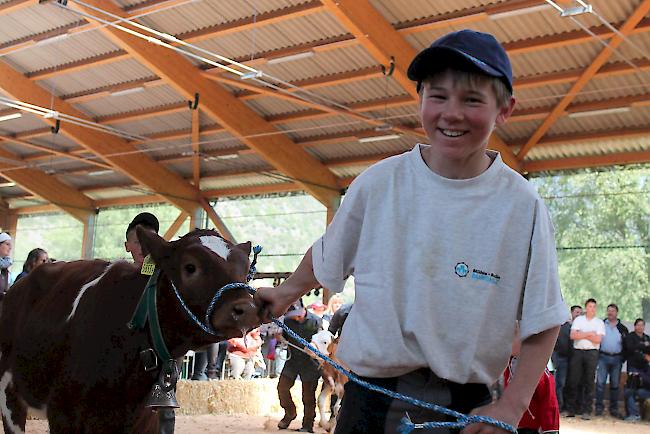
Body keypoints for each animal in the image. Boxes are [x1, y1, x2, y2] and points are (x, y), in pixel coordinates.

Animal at [0, 229, 260, 432]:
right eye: (190, 267)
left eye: (246, 271)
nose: (247, 309)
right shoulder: (64, 414)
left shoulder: (146, 420)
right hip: (9, 393)